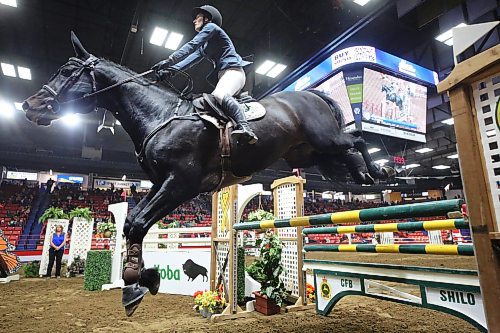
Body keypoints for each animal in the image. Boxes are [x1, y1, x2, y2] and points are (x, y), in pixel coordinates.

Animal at [23, 31, 390, 314]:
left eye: (67, 70)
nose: (29, 106)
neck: (160, 115)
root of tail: (312, 93)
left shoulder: (181, 183)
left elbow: (138, 223)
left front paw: (135, 285)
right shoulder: (162, 183)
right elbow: (131, 223)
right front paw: (140, 279)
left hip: (325, 139)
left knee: (357, 138)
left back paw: (381, 171)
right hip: (314, 154)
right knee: (345, 158)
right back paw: (366, 177)